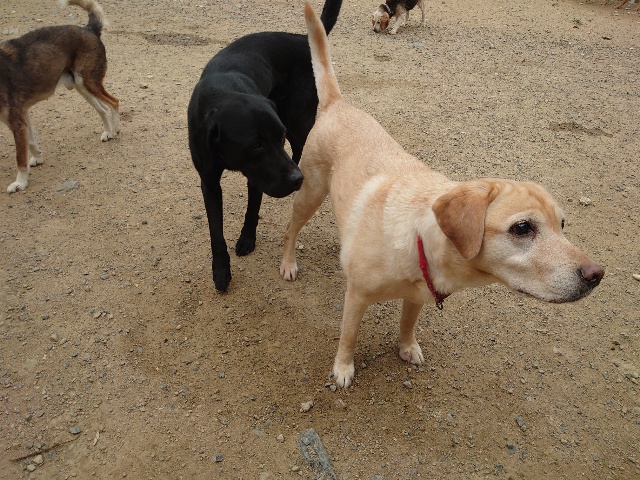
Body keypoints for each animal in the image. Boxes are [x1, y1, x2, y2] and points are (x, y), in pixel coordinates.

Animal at [0, 0, 119, 193]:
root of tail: (89, 29)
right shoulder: (23, 115)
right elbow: (31, 143)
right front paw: (38, 159)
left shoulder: (16, 123)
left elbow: (20, 158)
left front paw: (21, 183)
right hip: (82, 87)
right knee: (102, 109)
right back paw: (108, 132)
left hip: (88, 83)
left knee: (114, 102)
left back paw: (115, 129)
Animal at [187, 0, 343, 293]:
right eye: (256, 144)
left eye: (276, 137)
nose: (296, 179)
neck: (221, 92)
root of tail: (301, 38)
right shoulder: (210, 182)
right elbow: (216, 231)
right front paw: (221, 270)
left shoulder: (258, 175)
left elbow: (252, 210)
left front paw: (247, 239)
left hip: (298, 119)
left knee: (301, 146)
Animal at [280, 2, 605, 388]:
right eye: (522, 228)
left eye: (562, 224)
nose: (596, 274)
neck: (418, 237)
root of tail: (338, 104)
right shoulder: (356, 298)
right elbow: (349, 336)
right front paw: (343, 369)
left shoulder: (418, 296)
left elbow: (407, 323)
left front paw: (407, 348)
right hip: (310, 192)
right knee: (291, 229)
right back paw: (287, 264)